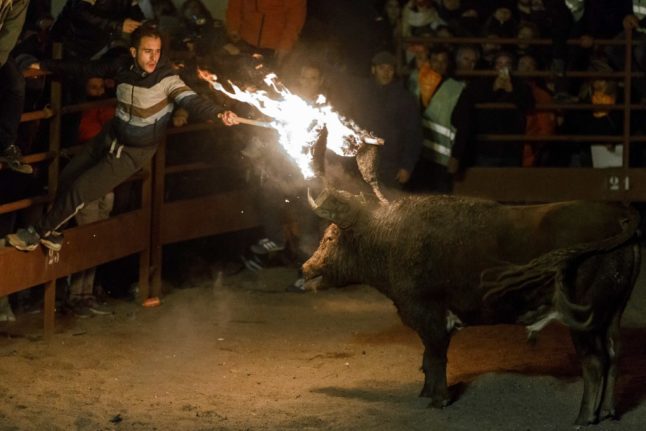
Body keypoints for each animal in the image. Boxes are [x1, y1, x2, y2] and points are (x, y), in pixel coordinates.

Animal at [306, 191, 644, 426]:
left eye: (330, 237)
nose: (306, 268)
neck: (391, 239)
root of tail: (619, 217)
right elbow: (428, 359)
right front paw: (426, 393)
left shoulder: (429, 316)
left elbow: (436, 358)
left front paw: (438, 399)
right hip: (612, 315)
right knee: (614, 356)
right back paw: (608, 411)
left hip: (583, 320)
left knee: (595, 363)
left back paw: (584, 417)